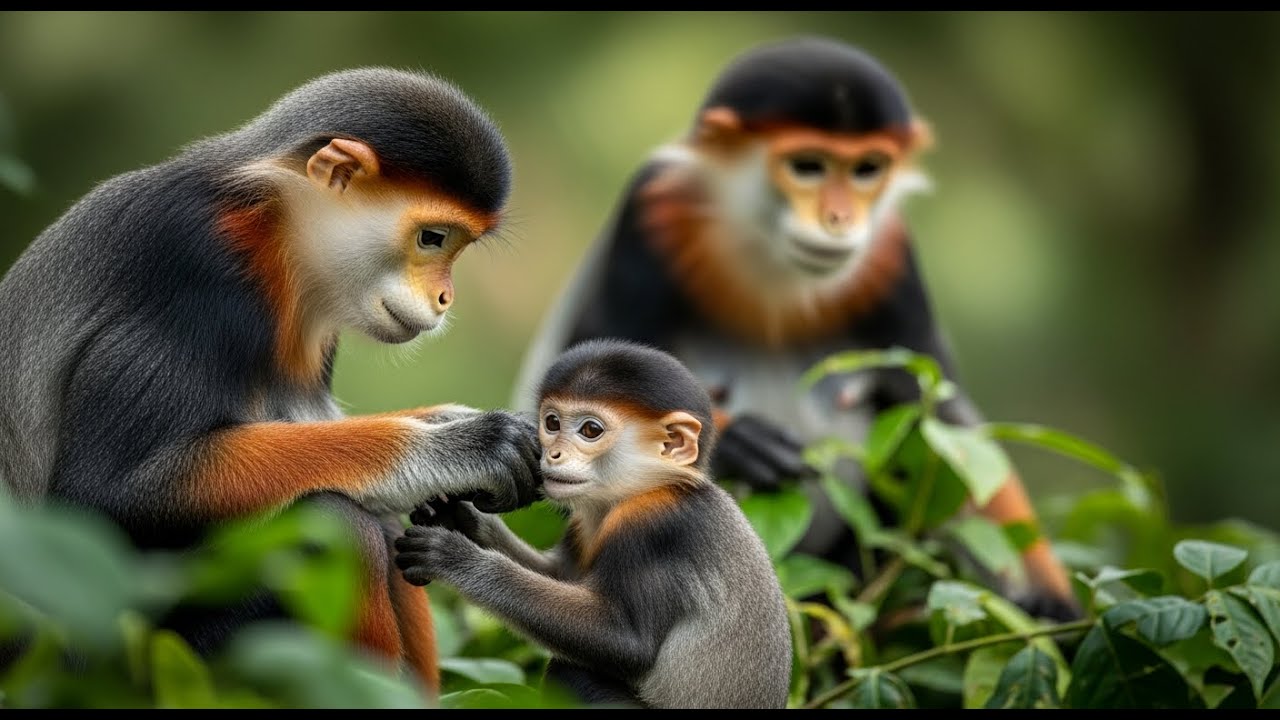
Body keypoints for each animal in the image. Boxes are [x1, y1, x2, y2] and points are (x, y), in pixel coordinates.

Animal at [0, 67, 544, 692]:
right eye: (432, 238)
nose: (444, 297)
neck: (273, 230)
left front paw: (447, 423)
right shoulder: (198, 269)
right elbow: (104, 495)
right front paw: (463, 445)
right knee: (334, 521)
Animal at [395, 339, 792, 709]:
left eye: (590, 430)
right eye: (552, 423)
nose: (553, 454)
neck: (649, 487)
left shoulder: (656, 526)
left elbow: (625, 641)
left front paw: (455, 557)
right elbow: (559, 576)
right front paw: (459, 518)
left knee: (571, 670)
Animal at [511, 36, 1079, 620]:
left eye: (867, 169)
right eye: (808, 166)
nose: (840, 220)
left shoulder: (891, 250)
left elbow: (944, 414)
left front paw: (1052, 601)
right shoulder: (651, 210)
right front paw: (744, 441)